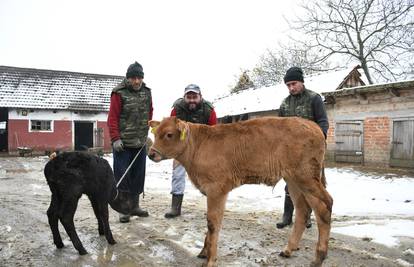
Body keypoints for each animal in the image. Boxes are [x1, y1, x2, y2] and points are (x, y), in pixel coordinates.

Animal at [148, 117, 334, 267]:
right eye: (156, 134)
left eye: (169, 134)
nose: (151, 154)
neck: (198, 147)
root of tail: (312, 125)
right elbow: (211, 222)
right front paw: (204, 252)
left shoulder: (217, 189)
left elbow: (213, 223)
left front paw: (210, 260)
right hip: (293, 180)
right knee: (303, 210)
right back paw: (288, 250)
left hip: (306, 176)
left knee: (324, 206)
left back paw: (319, 257)